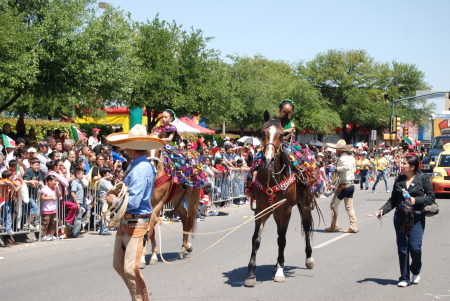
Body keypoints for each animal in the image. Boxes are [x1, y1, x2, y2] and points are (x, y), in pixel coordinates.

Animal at [244, 110, 318, 286]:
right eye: (262, 133)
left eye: (281, 135)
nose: (268, 160)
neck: (271, 178)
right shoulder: (262, 210)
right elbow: (256, 239)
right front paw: (250, 274)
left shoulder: (286, 210)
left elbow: (283, 240)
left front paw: (280, 271)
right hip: (276, 212)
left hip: (303, 206)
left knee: (306, 227)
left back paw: (308, 259)